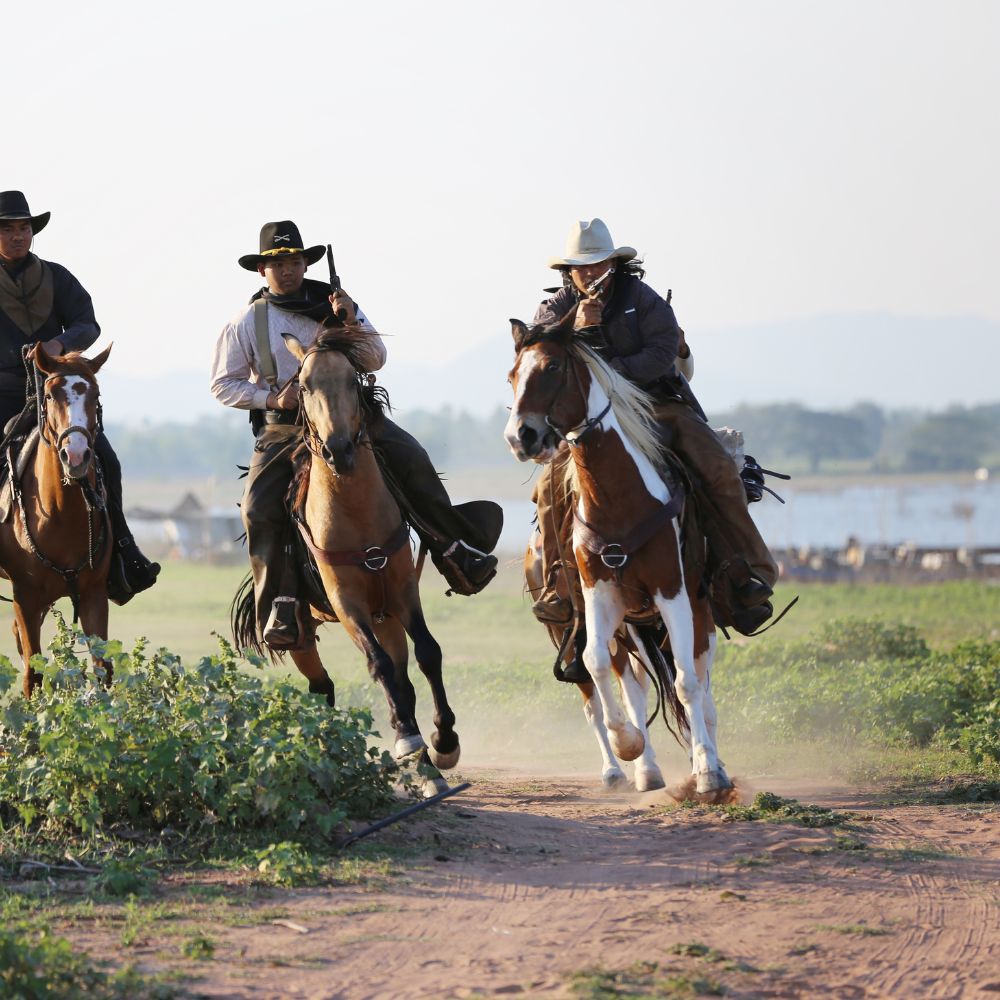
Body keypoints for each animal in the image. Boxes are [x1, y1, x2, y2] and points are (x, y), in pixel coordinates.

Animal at [0, 344, 114, 696]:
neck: (61, 515)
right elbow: (32, 675)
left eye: (96, 394)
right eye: (50, 395)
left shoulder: (93, 592)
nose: (76, 456)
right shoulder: (25, 593)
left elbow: (103, 669)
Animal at [232, 328, 456, 796]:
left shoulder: (403, 591)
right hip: (302, 631)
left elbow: (428, 652)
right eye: (302, 386)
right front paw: (410, 741)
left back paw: (425, 766)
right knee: (323, 686)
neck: (355, 511)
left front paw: (443, 743)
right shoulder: (346, 602)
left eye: (353, 381)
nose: (338, 451)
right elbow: (378, 664)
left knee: (403, 679)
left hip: (386, 615)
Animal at [504, 318, 732, 796]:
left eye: (552, 367)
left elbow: (687, 683)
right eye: (512, 375)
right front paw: (628, 745)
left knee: (700, 682)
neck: (618, 499)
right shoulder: (599, 597)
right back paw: (634, 769)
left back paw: (710, 761)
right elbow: (597, 666)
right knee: (626, 686)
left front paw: (706, 771)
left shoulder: (673, 591)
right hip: (615, 625)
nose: (520, 436)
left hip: (695, 609)